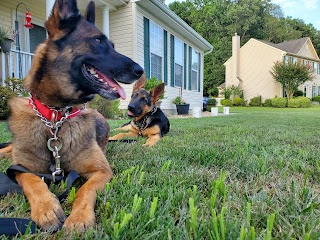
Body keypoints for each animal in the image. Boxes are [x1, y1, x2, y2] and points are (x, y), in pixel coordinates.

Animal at [0, 0, 143, 232]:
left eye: (112, 45)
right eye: (97, 41)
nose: (140, 70)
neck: (55, 117)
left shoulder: (101, 171)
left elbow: (86, 190)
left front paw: (78, 217)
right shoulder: (20, 169)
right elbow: (33, 181)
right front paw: (46, 208)